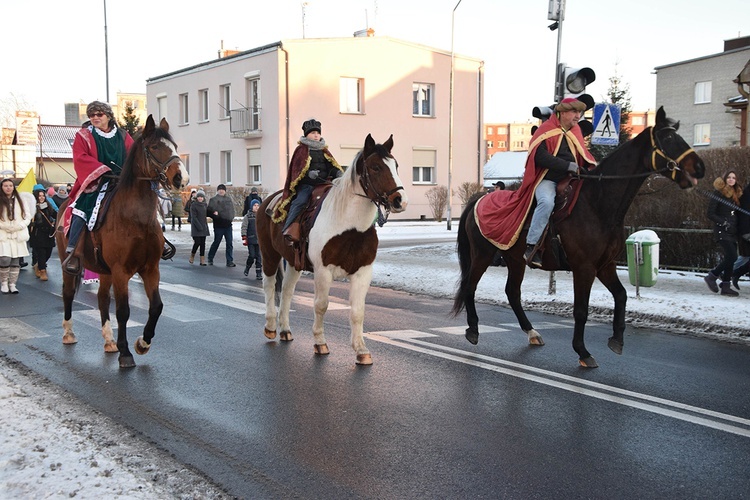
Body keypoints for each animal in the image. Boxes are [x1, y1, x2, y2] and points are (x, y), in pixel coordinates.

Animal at [55, 115, 188, 370]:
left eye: (175, 146)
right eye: (154, 147)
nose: (181, 178)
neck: (135, 218)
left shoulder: (150, 269)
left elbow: (156, 307)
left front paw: (142, 344)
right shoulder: (121, 271)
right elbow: (124, 311)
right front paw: (126, 352)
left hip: (104, 270)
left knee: (102, 299)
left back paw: (109, 340)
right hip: (69, 263)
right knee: (68, 293)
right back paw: (68, 334)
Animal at [258, 135, 412, 366]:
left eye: (396, 165)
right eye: (375, 167)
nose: (400, 201)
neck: (350, 227)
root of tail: (267, 200)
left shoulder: (362, 272)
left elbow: (357, 311)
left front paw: (361, 350)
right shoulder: (324, 271)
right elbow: (321, 305)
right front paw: (320, 343)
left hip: (294, 262)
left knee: (286, 291)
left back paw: (285, 329)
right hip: (269, 254)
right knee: (268, 286)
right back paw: (270, 327)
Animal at [456, 107, 708, 368]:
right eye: (668, 138)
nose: (700, 167)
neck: (598, 203)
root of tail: (479, 198)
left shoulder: (605, 265)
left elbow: (621, 295)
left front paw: (617, 339)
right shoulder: (584, 268)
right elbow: (581, 310)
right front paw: (582, 351)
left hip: (515, 259)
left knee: (513, 293)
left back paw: (532, 332)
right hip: (483, 255)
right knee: (470, 286)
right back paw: (473, 330)